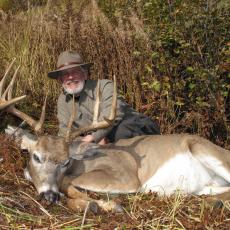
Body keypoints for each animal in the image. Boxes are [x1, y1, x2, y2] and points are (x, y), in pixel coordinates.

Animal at [2, 71, 230, 212]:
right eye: (36, 157)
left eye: (66, 161)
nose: (49, 194)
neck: (81, 161)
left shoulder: (126, 176)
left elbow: (69, 181)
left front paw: (106, 205)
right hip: (206, 184)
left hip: (205, 149)